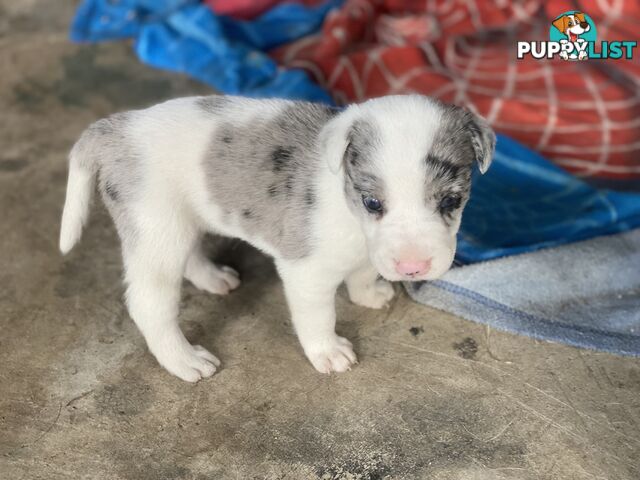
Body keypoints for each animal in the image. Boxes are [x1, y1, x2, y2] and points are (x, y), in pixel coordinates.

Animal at [60, 95, 496, 382]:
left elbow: (362, 272)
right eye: (373, 202)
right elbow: (319, 317)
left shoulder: (365, 251)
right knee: (149, 305)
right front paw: (328, 352)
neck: (348, 209)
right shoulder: (306, 273)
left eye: (451, 200)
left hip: (181, 223)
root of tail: (115, 129)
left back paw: (213, 278)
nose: (412, 268)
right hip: (156, 232)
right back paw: (184, 361)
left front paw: (369, 293)